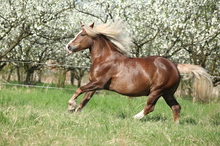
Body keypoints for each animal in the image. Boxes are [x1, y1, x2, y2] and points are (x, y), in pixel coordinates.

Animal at [65, 20, 213, 123]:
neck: (104, 59)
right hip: (168, 93)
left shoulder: (98, 83)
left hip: (157, 91)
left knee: (149, 107)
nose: (68, 47)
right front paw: (74, 114)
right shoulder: (93, 84)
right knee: (176, 107)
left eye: (82, 34)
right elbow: (84, 101)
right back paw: (175, 126)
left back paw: (133, 118)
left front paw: (70, 107)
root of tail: (174, 65)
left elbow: (78, 90)